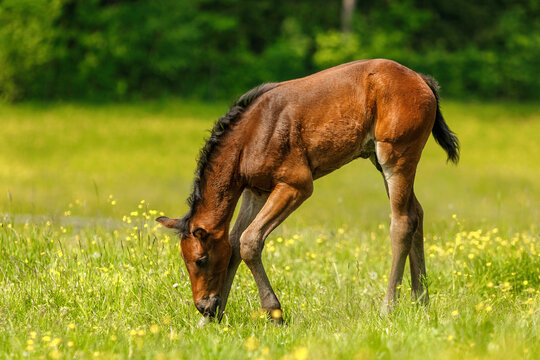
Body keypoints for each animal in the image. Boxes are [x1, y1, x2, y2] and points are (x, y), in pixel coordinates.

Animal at [156, 59, 460, 324]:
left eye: (201, 259)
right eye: (185, 260)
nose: (203, 306)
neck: (252, 135)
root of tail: (422, 80)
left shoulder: (297, 184)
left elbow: (249, 241)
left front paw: (275, 313)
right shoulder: (256, 191)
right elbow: (232, 242)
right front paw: (211, 320)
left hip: (396, 155)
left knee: (402, 222)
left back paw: (388, 308)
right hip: (380, 159)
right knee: (416, 213)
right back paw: (421, 301)